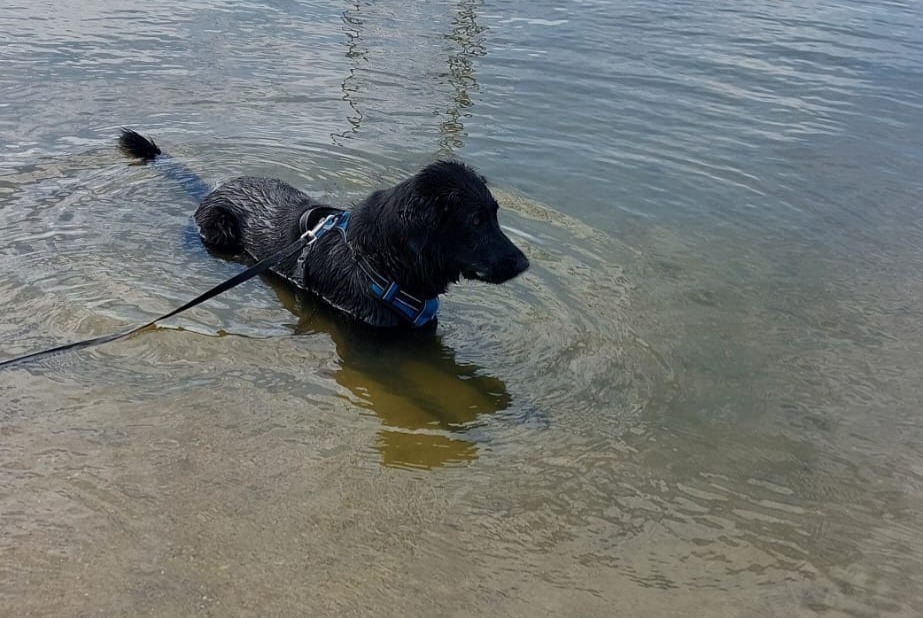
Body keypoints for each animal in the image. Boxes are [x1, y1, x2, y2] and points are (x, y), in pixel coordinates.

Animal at [119, 129, 532, 328]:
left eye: (495, 214)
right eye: (475, 221)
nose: (525, 264)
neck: (378, 264)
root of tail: (214, 187)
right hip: (217, 229)